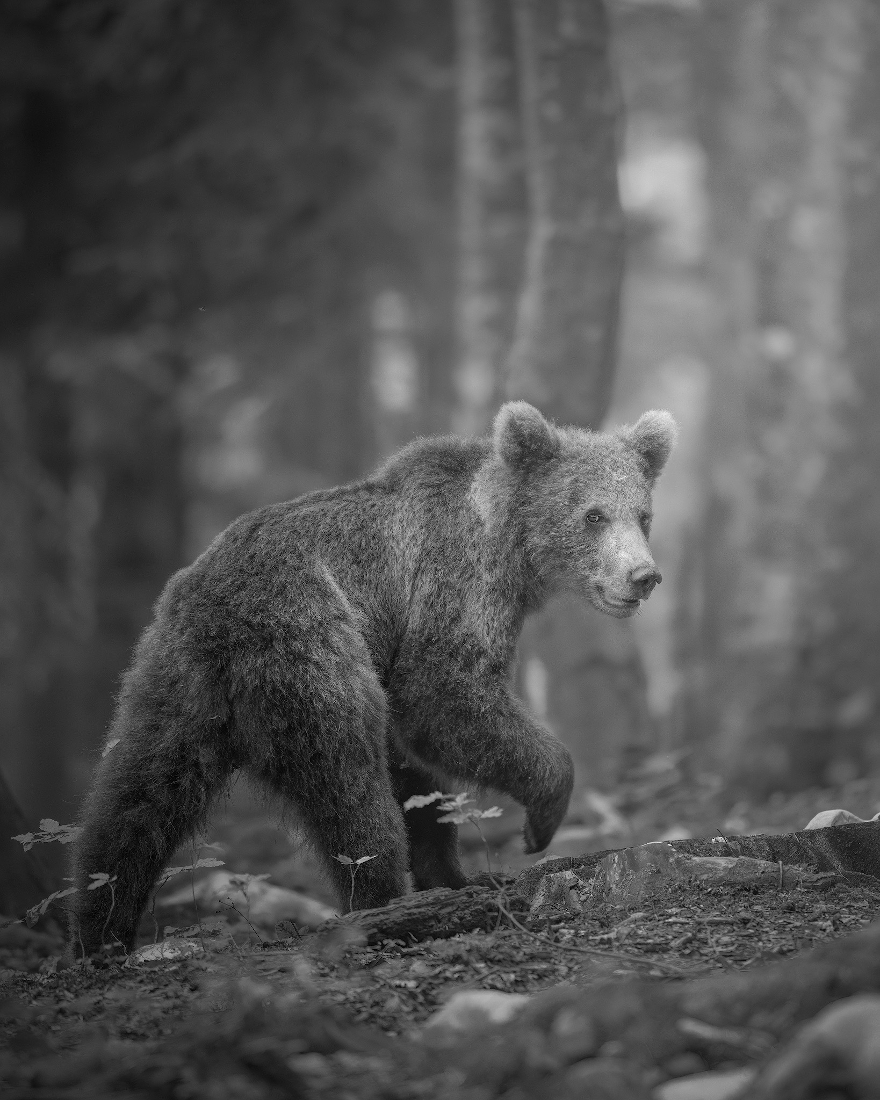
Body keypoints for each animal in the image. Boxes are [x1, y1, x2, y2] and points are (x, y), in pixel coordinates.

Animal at [69, 401, 676, 956]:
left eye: (643, 515)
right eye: (594, 515)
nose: (642, 575)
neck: (510, 548)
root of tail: (219, 619)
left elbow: (416, 773)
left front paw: (452, 872)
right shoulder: (453, 583)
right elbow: (442, 695)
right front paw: (540, 819)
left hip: (173, 681)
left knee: (134, 800)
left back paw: (100, 931)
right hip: (309, 649)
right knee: (350, 787)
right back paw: (386, 907)